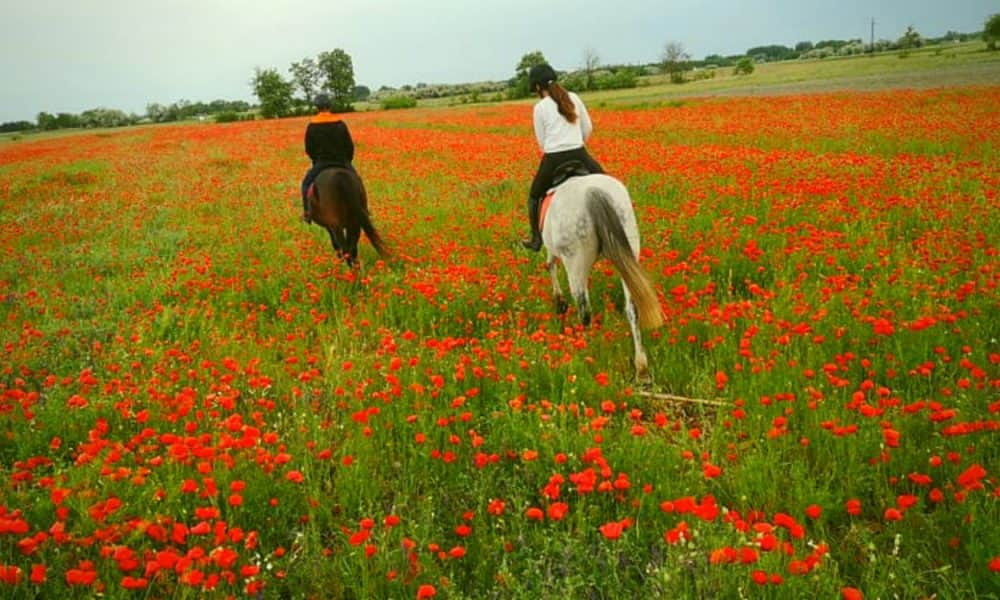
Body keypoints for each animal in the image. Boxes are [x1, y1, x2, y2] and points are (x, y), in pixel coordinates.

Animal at [540, 173, 664, 378]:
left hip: (575, 261)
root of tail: (593, 192)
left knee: (585, 312)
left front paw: (560, 303)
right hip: (629, 249)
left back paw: (587, 353)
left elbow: (550, 265)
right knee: (633, 308)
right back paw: (641, 367)